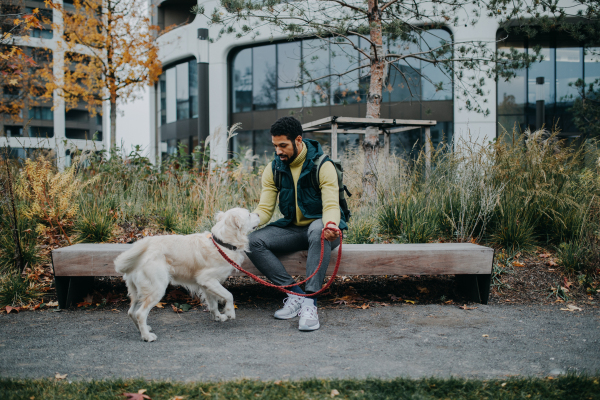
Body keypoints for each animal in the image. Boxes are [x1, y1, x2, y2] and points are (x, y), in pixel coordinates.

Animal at [113, 208, 258, 342]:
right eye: (249, 214)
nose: (258, 214)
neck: (221, 243)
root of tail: (143, 250)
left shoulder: (207, 285)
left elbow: (213, 303)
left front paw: (218, 316)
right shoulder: (207, 279)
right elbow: (229, 295)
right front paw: (229, 312)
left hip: (137, 291)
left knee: (131, 312)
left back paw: (143, 330)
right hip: (156, 289)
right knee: (140, 314)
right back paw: (147, 336)